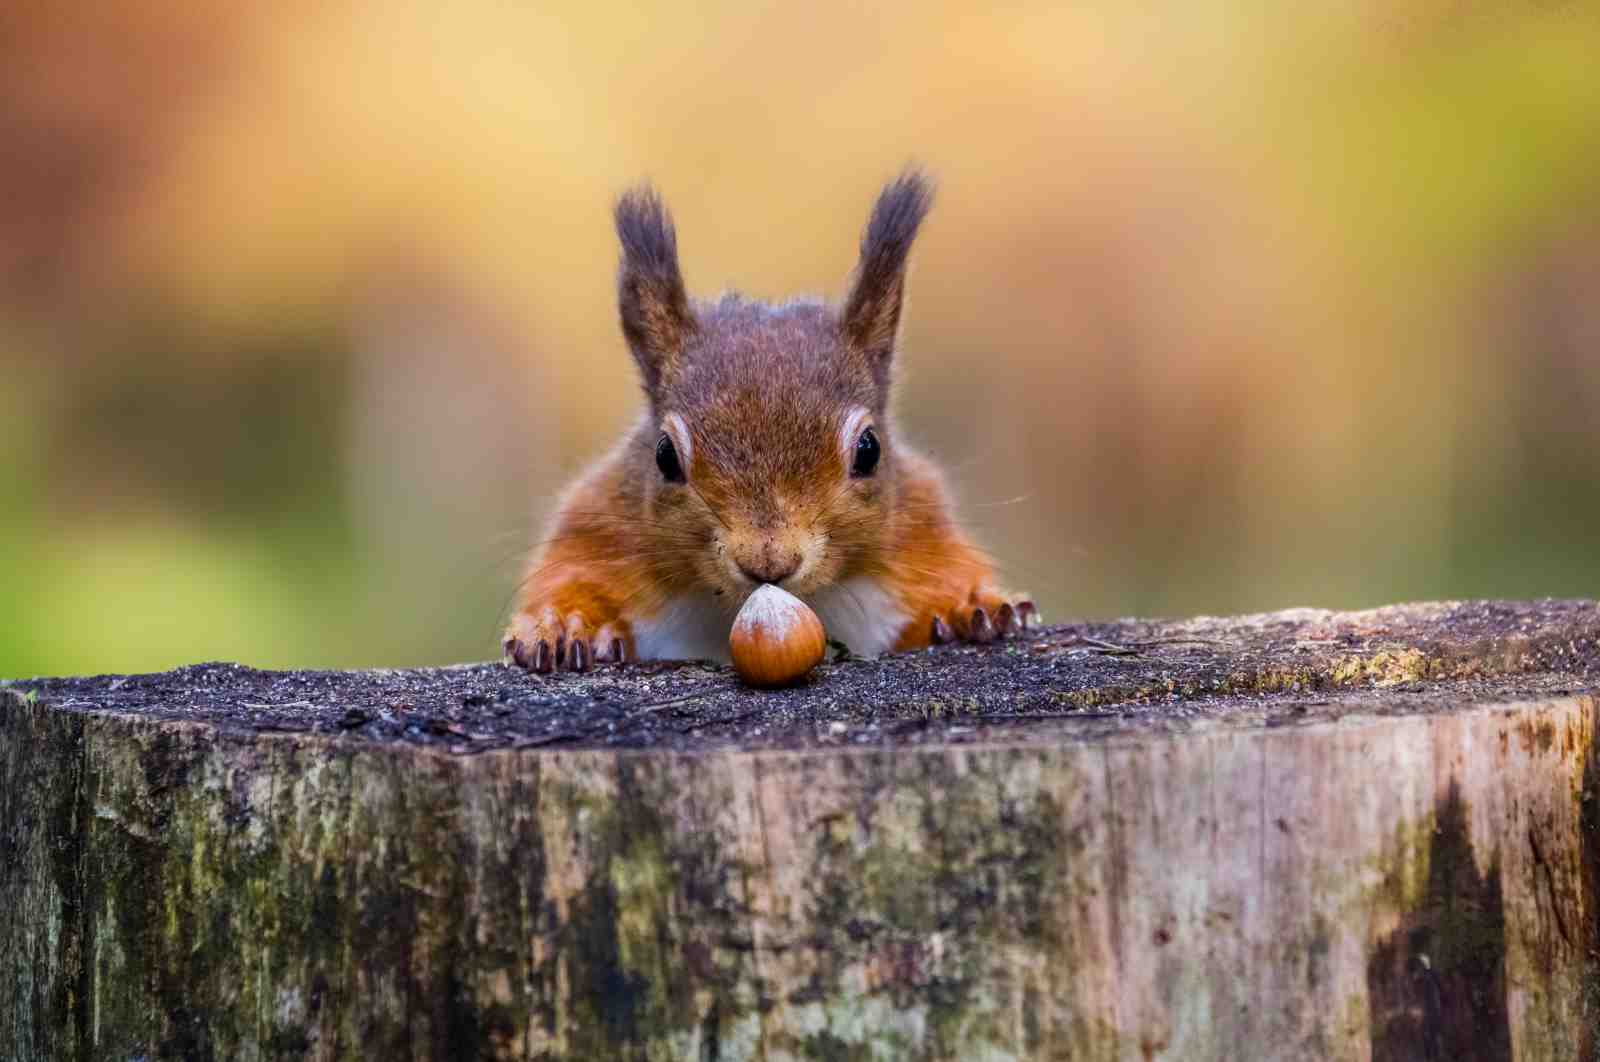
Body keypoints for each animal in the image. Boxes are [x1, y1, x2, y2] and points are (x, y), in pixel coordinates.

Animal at [504, 170, 1035, 673]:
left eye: (869, 450)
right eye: (664, 456)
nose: (769, 560)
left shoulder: (919, 530)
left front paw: (973, 607)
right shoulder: (599, 529)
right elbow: (573, 577)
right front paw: (565, 624)